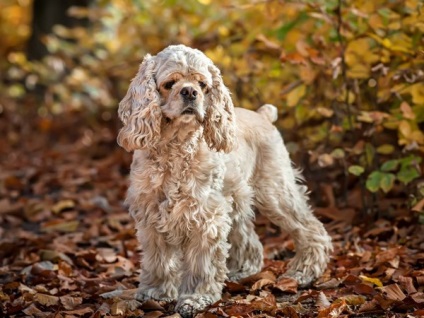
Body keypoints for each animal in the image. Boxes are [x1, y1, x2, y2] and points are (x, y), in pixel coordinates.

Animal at [116, 44, 332, 316]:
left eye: (202, 84)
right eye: (169, 83)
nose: (190, 92)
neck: (176, 145)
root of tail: (263, 115)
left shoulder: (205, 215)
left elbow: (202, 263)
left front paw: (195, 298)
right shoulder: (151, 214)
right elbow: (158, 259)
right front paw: (156, 292)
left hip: (275, 191)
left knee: (311, 228)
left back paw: (303, 273)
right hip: (236, 200)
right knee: (250, 239)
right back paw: (241, 272)